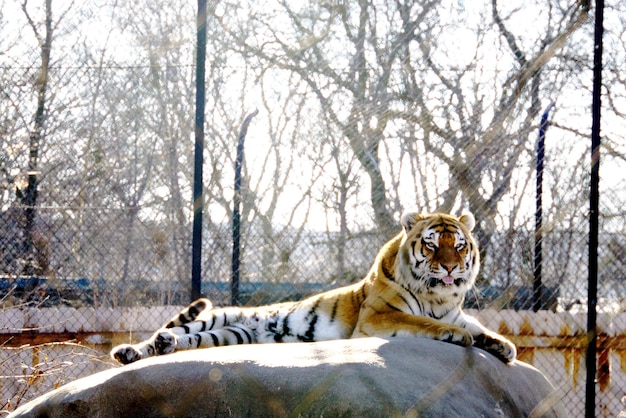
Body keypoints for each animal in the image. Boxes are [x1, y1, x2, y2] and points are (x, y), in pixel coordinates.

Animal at [109, 211, 516, 364]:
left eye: (459, 245)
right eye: (431, 245)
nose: (449, 266)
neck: (438, 293)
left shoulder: (457, 311)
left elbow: (479, 326)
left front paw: (503, 346)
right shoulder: (379, 317)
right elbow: (426, 324)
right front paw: (457, 337)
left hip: (230, 335)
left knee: (180, 339)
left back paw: (163, 345)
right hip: (215, 318)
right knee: (165, 332)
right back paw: (131, 350)